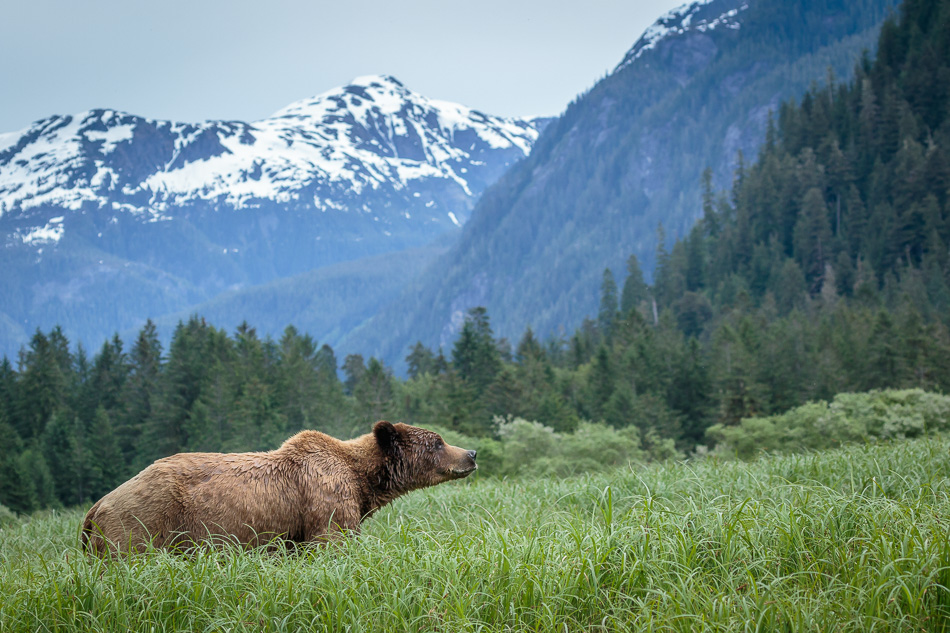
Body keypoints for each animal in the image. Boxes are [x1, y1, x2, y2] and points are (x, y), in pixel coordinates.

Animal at [81, 421, 477, 555]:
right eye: (438, 442)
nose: (471, 453)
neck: (362, 481)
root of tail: (96, 506)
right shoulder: (325, 498)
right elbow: (332, 541)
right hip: (143, 523)